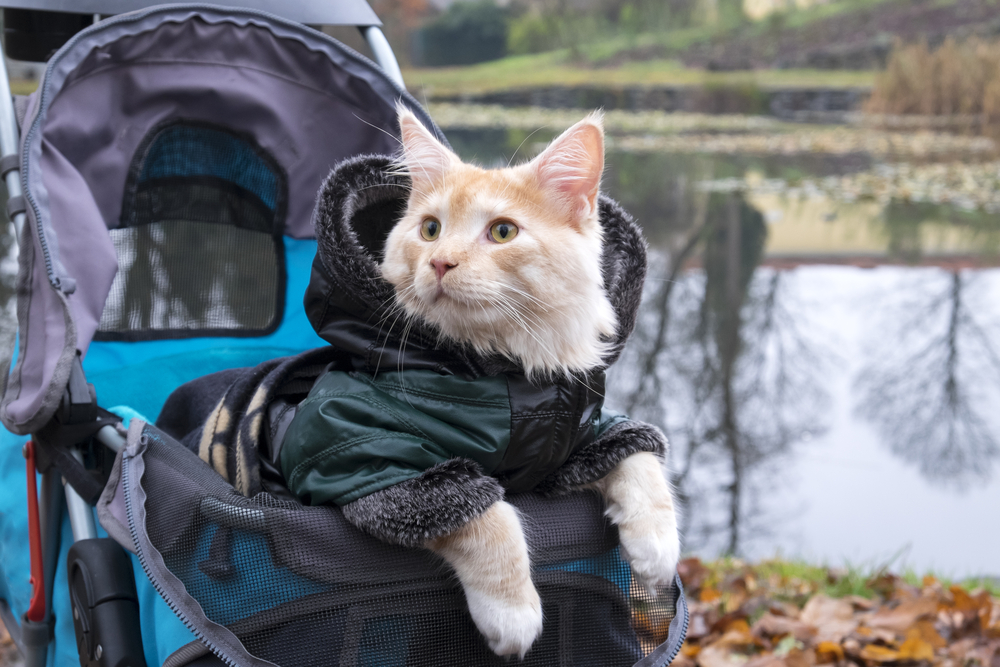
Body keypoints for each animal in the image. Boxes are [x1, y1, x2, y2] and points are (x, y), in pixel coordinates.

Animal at [380, 108, 680, 656]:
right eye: (430, 229)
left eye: (503, 232)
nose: (439, 262)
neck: (514, 378)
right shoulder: (376, 464)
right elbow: (488, 516)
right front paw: (512, 613)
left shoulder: (583, 438)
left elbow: (638, 458)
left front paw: (656, 544)